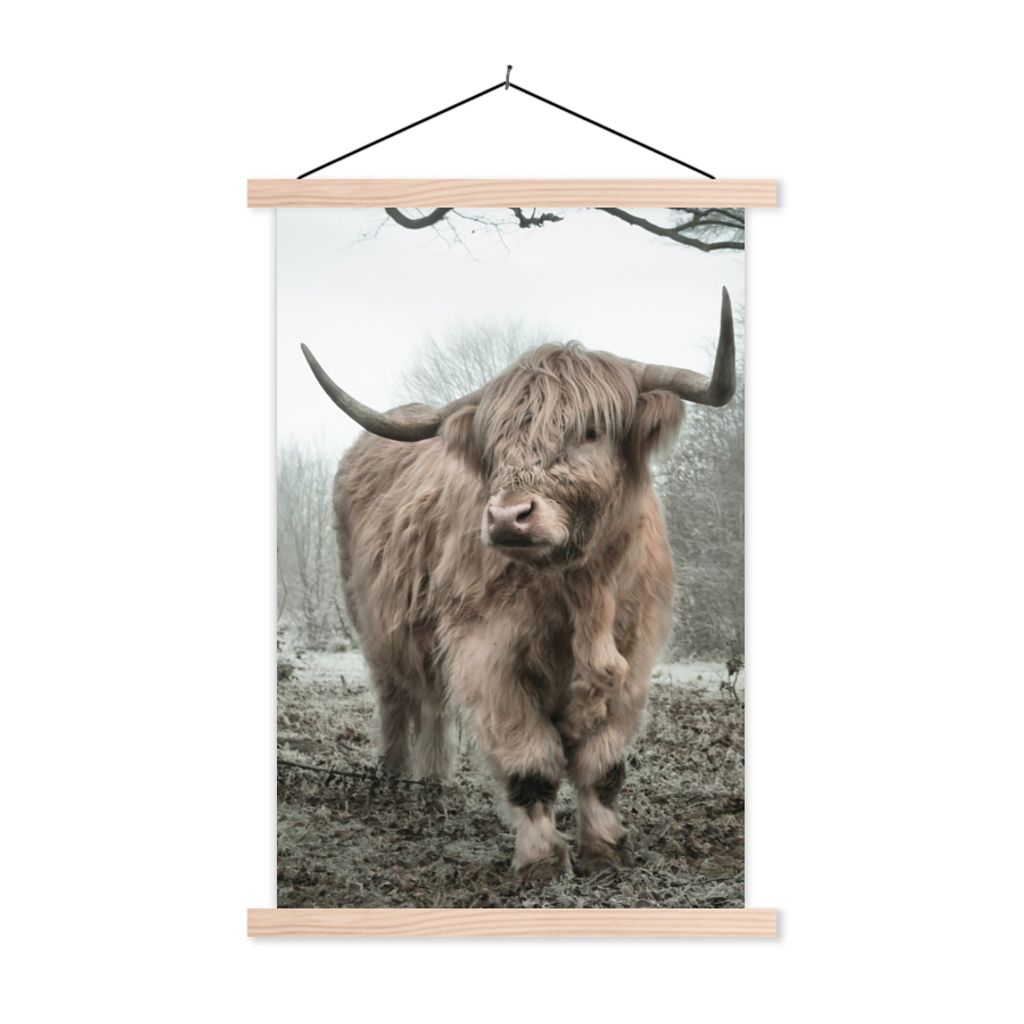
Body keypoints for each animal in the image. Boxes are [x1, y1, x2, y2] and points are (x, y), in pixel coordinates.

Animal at [300, 288, 735, 881]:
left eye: (590, 431)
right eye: (496, 443)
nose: (508, 517)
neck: (581, 591)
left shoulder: (633, 657)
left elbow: (603, 767)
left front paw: (606, 850)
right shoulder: (489, 656)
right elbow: (531, 764)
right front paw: (542, 862)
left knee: (432, 702)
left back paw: (432, 784)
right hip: (373, 625)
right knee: (397, 698)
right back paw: (394, 780)